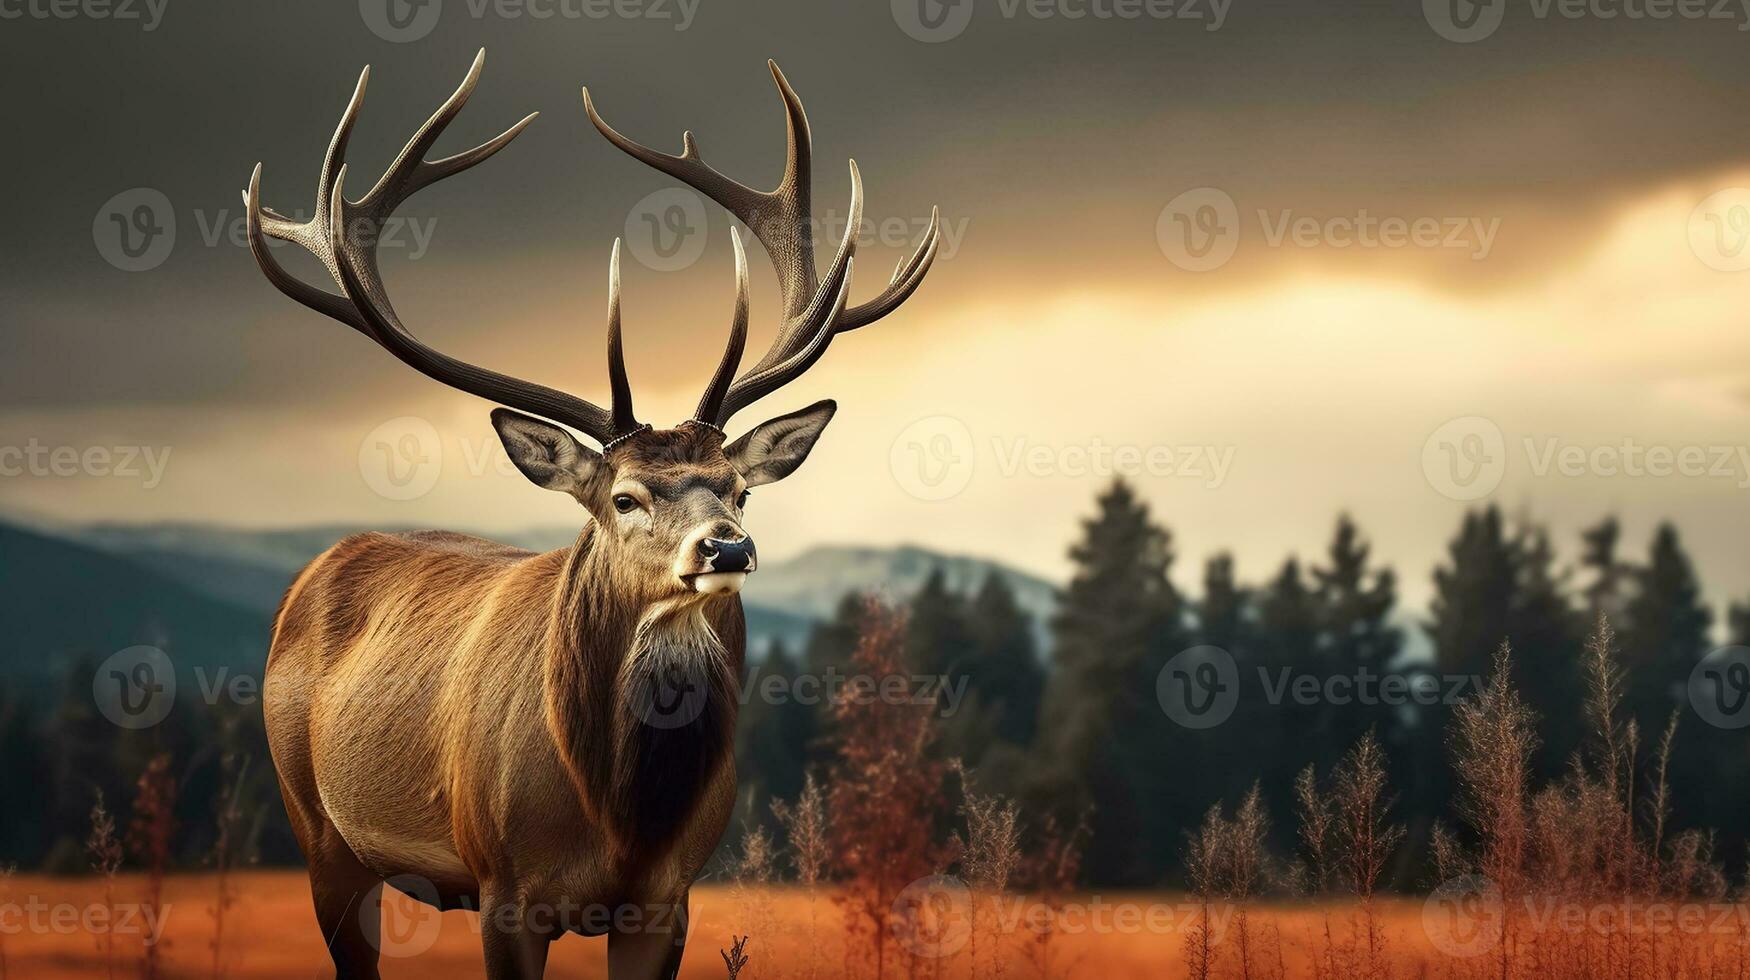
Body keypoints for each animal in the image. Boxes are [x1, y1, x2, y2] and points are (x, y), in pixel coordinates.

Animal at [243, 53, 945, 980]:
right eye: (624, 497)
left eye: (739, 487)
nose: (728, 547)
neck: (619, 823)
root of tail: (311, 575)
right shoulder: (503, 888)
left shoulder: (669, 899)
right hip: (318, 830)